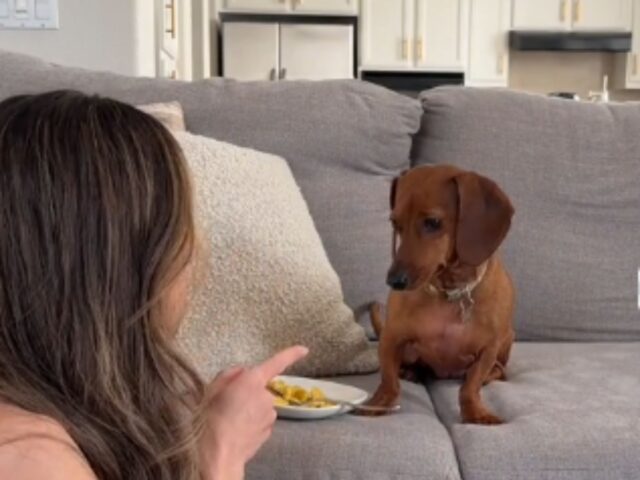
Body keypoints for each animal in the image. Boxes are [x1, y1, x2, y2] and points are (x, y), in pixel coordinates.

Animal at [364, 165, 516, 424]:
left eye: (433, 222)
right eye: (395, 223)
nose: (394, 281)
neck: (451, 292)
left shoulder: (488, 348)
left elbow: (470, 386)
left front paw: (476, 412)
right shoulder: (391, 338)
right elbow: (389, 380)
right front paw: (379, 402)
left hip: (507, 340)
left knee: (498, 370)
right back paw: (410, 371)